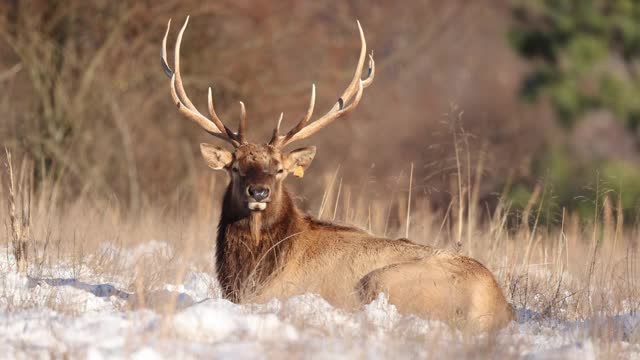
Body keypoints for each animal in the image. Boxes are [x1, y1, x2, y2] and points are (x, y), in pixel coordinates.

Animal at [161, 16, 516, 332]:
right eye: (235, 168)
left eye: (279, 170)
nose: (258, 191)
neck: (253, 269)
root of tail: (498, 304)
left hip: (383, 280)